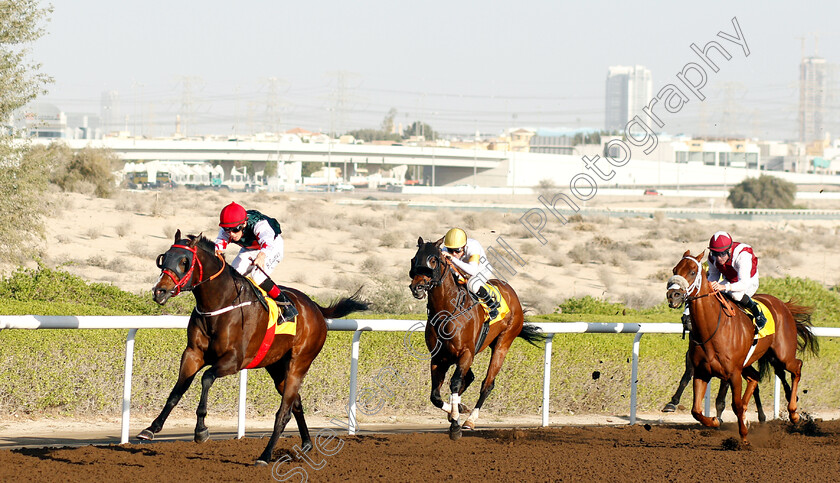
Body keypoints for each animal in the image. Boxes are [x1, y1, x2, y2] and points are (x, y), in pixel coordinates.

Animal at [138, 233, 368, 466]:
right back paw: (306, 444)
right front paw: (151, 428)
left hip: (300, 363)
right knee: (296, 403)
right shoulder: (193, 354)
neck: (219, 304)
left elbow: (206, 378)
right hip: (277, 367)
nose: (159, 291)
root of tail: (315, 307)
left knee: (283, 412)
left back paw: (265, 456)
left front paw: (201, 430)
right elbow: (177, 390)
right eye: (164, 258)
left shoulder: (234, 360)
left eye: (184, 261)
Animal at [406, 236, 544, 440]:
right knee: (469, 378)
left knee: (487, 384)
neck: (446, 312)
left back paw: (470, 420)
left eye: (433, 260)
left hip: (503, 344)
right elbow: (435, 396)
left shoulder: (466, 352)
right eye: (414, 259)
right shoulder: (439, 357)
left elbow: (455, 383)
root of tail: (512, 293)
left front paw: (456, 424)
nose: (417, 287)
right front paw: (454, 411)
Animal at [668, 251, 816, 444]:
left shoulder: (732, 373)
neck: (712, 329)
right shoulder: (702, 372)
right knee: (755, 377)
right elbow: (696, 411)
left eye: (693, 272)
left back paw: (794, 414)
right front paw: (715, 421)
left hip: (782, 356)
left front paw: (744, 436)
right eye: (674, 270)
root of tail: (783, 305)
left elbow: (734, 404)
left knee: (797, 367)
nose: (673, 295)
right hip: (751, 362)